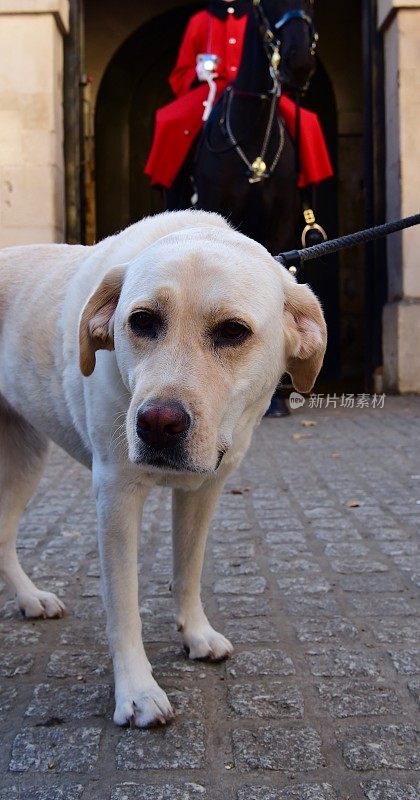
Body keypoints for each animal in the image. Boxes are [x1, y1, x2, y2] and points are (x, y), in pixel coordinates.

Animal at [0, 209, 324, 728]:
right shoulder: (115, 496)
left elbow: (187, 569)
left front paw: (195, 633)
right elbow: (123, 607)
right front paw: (137, 692)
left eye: (233, 331)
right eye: (142, 321)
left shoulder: (205, 488)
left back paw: (31, 598)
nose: (157, 424)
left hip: (25, 457)